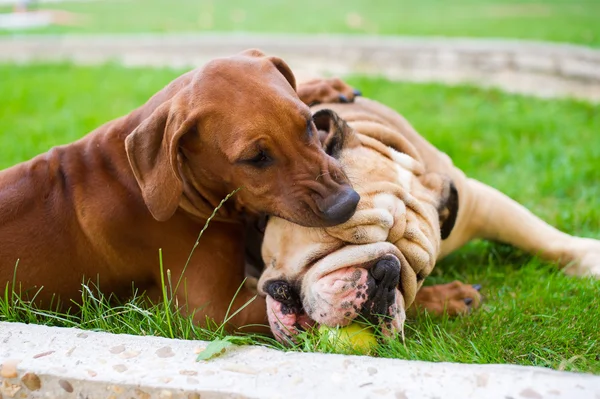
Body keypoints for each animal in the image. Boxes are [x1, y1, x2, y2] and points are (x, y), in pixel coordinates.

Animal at [258, 82, 600, 344]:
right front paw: (448, 298)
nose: (388, 271)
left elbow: (542, 236)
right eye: (343, 238)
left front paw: (590, 258)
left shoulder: (475, 202)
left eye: (419, 273)